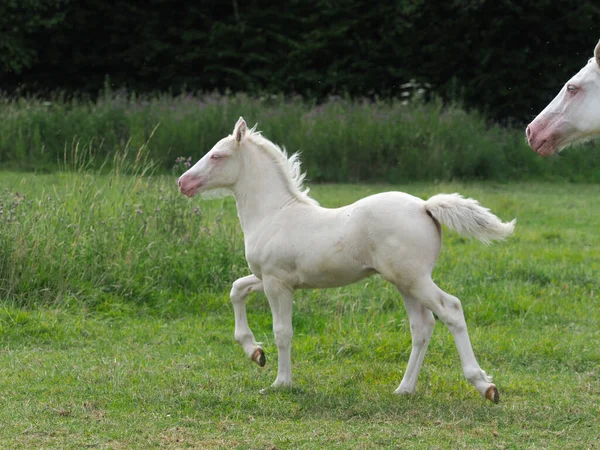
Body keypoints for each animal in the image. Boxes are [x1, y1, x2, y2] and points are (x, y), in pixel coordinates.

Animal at [178, 118, 516, 402]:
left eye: (217, 156)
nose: (183, 182)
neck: (274, 213)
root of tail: (425, 206)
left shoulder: (277, 283)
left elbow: (282, 332)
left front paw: (280, 383)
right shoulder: (273, 279)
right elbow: (237, 289)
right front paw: (255, 353)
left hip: (415, 279)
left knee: (451, 310)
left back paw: (485, 386)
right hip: (405, 283)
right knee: (422, 326)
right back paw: (404, 389)